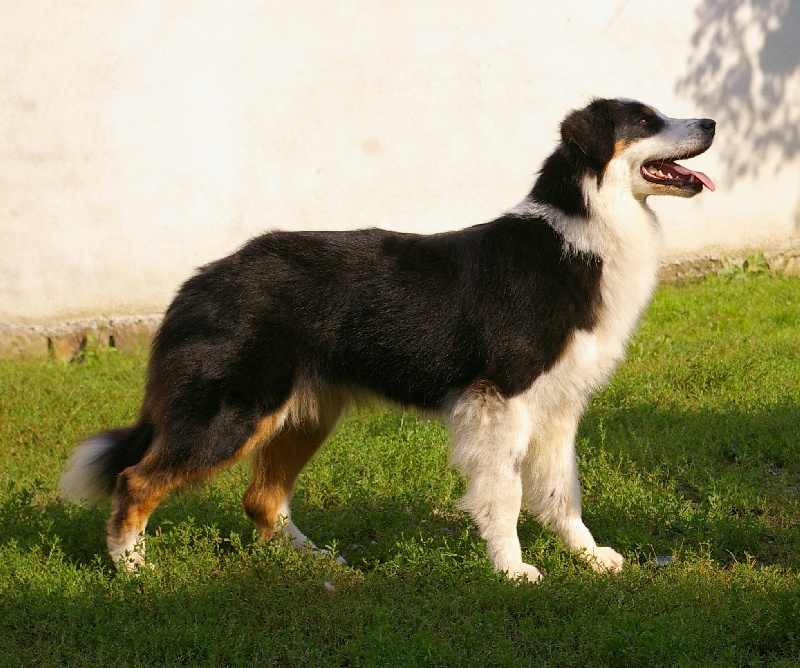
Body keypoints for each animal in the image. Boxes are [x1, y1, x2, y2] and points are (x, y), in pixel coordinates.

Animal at [59, 98, 715, 581]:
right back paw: (134, 571)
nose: (711, 123)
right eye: (645, 121)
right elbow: (503, 495)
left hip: (304, 414)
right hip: (233, 411)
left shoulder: (557, 409)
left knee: (261, 499)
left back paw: (319, 564)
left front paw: (589, 557)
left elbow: (562, 493)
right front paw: (512, 570)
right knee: (136, 479)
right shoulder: (497, 400)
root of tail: (199, 280)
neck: (585, 230)